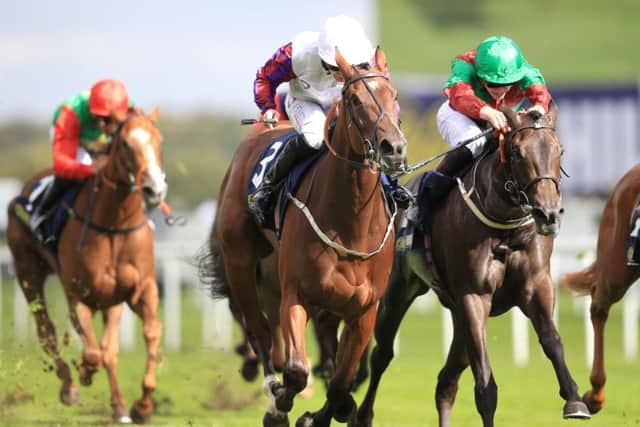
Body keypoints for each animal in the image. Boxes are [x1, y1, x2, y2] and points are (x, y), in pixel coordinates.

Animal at [6, 108, 168, 424]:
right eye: (126, 144)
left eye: (158, 140)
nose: (154, 189)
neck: (114, 224)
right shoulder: (77, 297)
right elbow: (92, 353)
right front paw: (83, 370)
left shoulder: (140, 290)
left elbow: (149, 333)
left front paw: (142, 406)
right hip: (28, 273)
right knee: (47, 332)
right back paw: (70, 386)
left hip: (110, 301)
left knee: (109, 350)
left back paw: (119, 406)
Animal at [202, 45, 408, 426]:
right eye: (354, 99)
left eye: (395, 95)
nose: (394, 148)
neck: (351, 225)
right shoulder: (295, 295)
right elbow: (296, 370)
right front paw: (283, 403)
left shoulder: (364, 311)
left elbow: (341, 382)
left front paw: (324, 413)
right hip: (239, 264)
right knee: (260, 333)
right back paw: (272, 393)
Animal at [350, 104, 592, 427]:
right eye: (517, 152)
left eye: (560, 150)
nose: (549, 214)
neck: (505, 226)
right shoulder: (473, 297)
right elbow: (485, 385)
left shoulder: (536, 285)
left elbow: (552, 340)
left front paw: (575, 399)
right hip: (401, 289)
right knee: (382, 355)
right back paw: (362, 414)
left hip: (457, 317)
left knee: (446, 381)